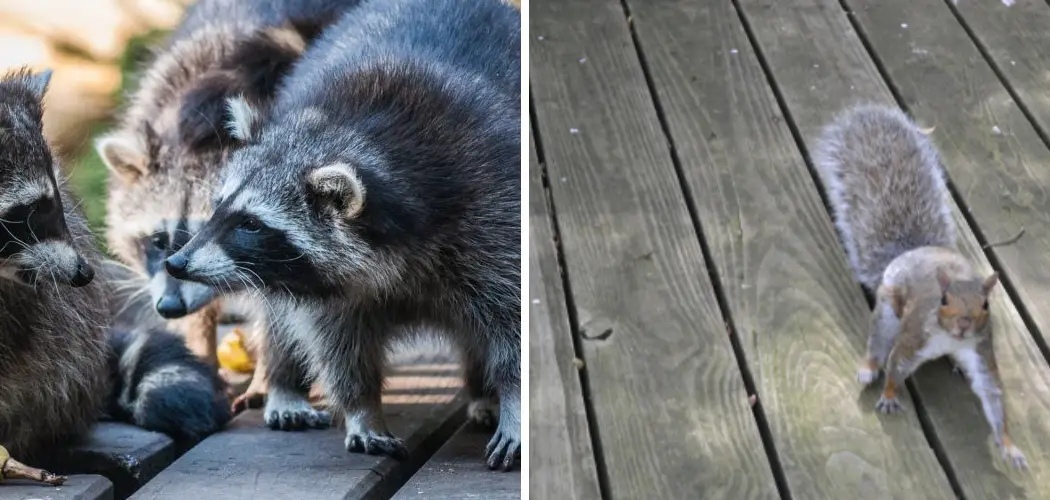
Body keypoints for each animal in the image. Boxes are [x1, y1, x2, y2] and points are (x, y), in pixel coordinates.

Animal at [163, 0, 520, 468]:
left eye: (251, 224)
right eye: (218, 206)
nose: (176, 262)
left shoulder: (493, 209)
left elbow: (513, 320)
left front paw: (515, 402)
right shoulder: (327, 285)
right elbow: (337, 341)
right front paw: (362, 407)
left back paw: (483, 392)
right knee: (281, 320)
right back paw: (284, 382)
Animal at [810, 103, 1024, 470]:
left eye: (985, 305)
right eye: (943, 299)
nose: (963, 324)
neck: (951, 338)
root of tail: (911, 252)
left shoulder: (981, 349)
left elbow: (992, 392)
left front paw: (1008, 446)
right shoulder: (913, 338)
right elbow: (897, 365)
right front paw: (889, 396)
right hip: (888, 308)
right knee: (878, 341)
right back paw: (868, 368)